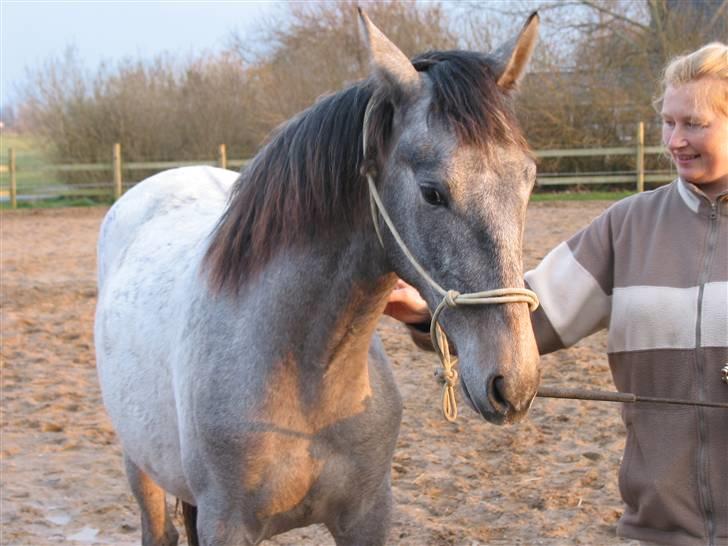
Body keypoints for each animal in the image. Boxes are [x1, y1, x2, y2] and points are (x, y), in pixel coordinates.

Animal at [94, 8, 540, 544]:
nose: (513, 383)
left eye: (529, 179)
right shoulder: (227, 524)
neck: (307, 381)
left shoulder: (368, 516)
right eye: (432, 192)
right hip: (140, 468)